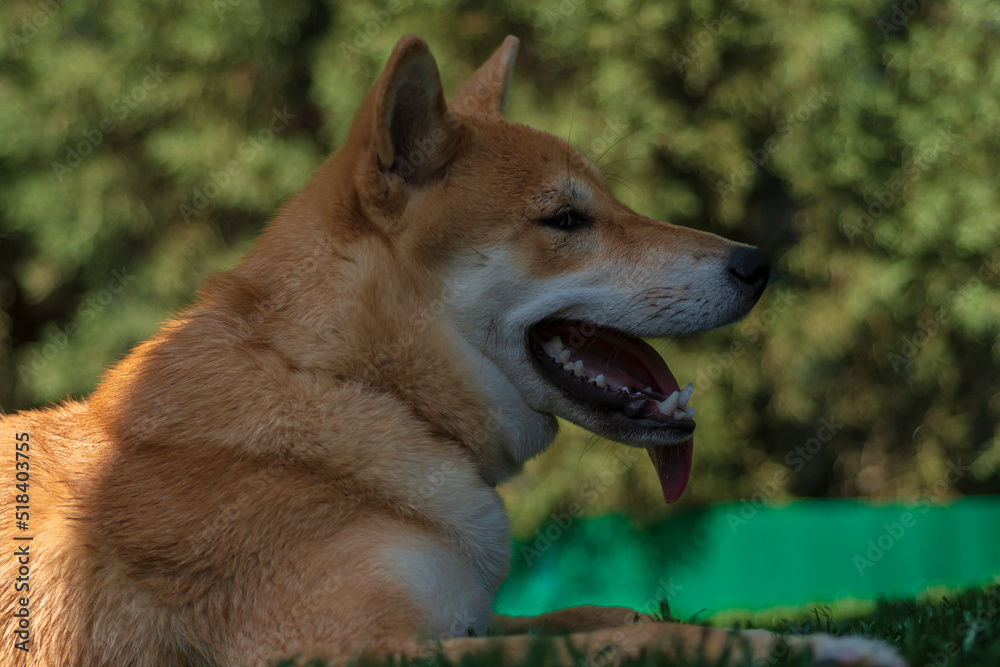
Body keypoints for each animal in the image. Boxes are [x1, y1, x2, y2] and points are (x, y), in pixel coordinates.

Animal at [0, 35, 908, 667]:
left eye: (611, 199)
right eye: (565, 220)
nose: (757, 265)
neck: (357, 388)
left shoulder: (460, 616)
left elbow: (612, 617)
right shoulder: (342, 648)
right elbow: (630, 640)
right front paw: (824, 647)